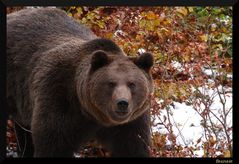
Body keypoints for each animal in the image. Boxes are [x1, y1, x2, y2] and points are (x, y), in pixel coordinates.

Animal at [6, 8, 154, 158]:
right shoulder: (58, 95)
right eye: (111, 83)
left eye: (132, 84)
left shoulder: (132, 121)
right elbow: (53, 143)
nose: (122, 103)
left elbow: (133, 146)